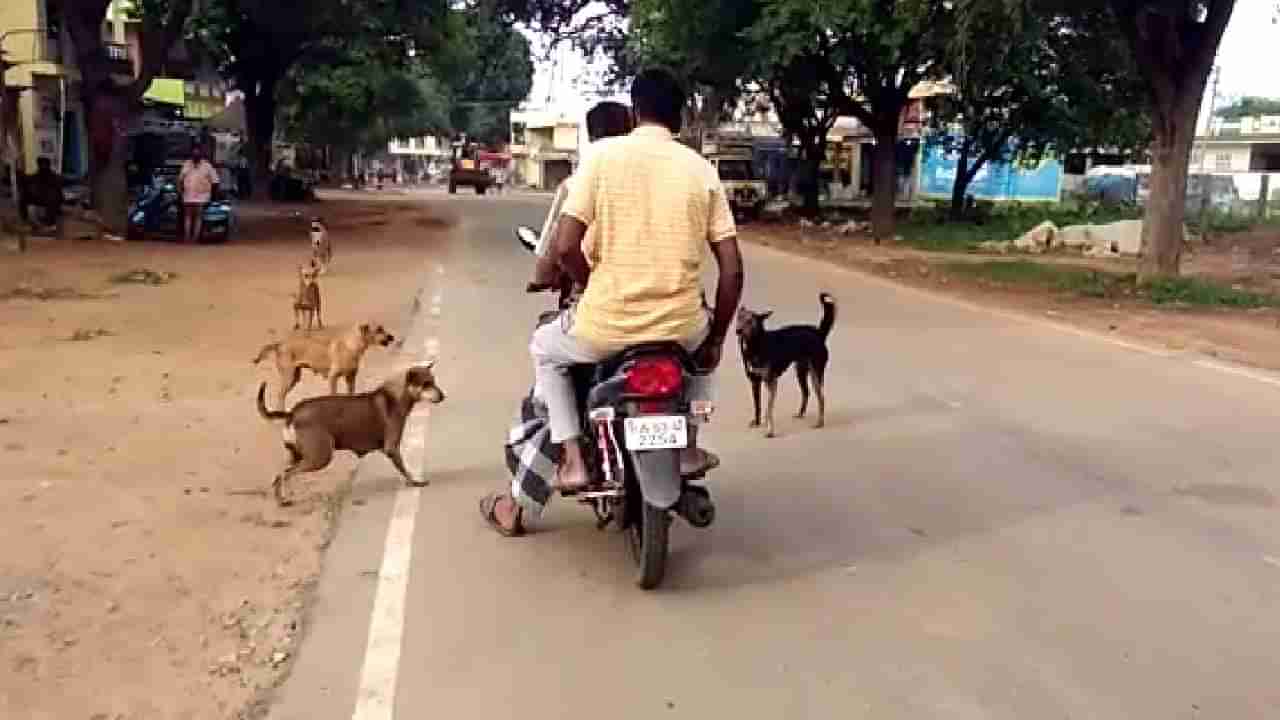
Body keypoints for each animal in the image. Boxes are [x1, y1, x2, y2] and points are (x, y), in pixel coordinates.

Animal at [253, 320, 394, 409]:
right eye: (379, 329)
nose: (391, 337)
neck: (351, 346)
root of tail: (279, 344)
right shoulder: (333, 377)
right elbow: (333, 395)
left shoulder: (351, 377)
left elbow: (351, 394)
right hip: (289, 376)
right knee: (280, 395)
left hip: (295, 377)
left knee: (281, 395)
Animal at [254, 363, 445, 504]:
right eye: (426, 384)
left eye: (433, 381)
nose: (442, 396)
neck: (395, 395)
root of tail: (292, 413)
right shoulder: (392, 448)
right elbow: (405, 469)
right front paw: (414, 482)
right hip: (319, 458)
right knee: (286, 474)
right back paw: (285, 498)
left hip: (297, 455)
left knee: (279, 474)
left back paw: (280, 499)